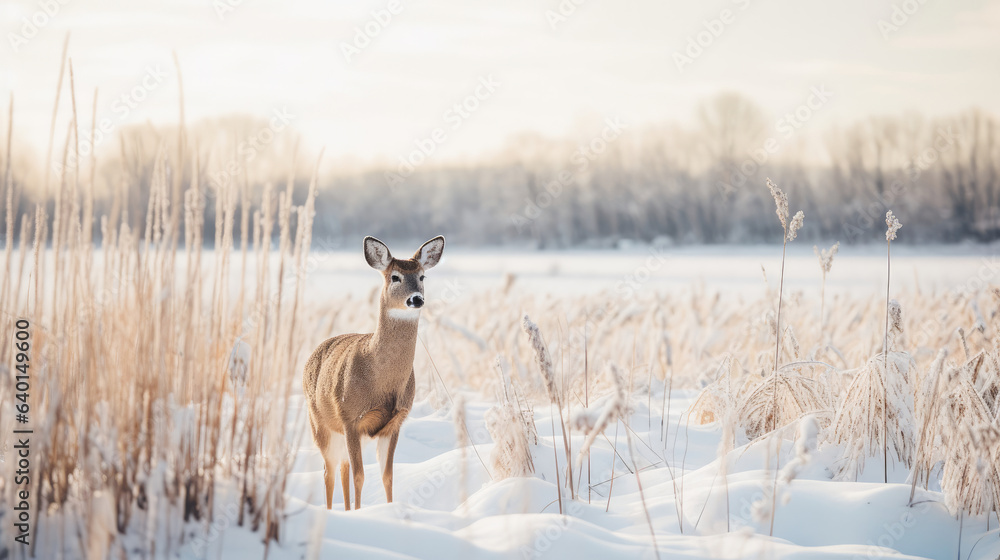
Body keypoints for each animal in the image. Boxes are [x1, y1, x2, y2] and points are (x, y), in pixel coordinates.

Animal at [302, 235, 445, 510]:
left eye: (422, 276)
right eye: (395, 277)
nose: (416, 299)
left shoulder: (395, 422)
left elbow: (387, 475)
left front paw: (387, 509)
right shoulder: (350, 417)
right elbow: (360, 475)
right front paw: (361, 512)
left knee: (343, 467)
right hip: (320, 423)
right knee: (329, 471)